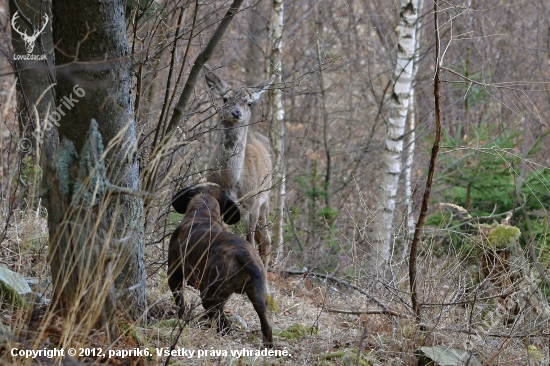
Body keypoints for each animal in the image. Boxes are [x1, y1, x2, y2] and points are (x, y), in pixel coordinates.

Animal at [206, 65, 274, 266]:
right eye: (225, 98)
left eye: (249, 103)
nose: (237, 113)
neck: (232, 182)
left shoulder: (252, 203)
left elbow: (249, 241)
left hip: (265, 197)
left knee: (266, 239)